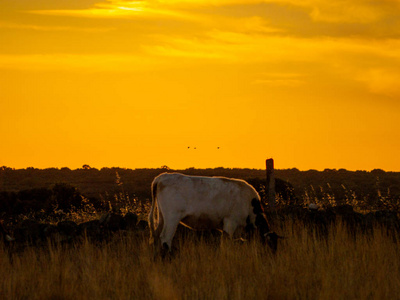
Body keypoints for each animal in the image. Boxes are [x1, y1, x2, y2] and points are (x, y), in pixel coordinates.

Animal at [148, 173, 282, 255]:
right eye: (270, 244)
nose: (273, 257)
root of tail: (162, 177)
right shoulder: (230, 222)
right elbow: (226, 244)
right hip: (172, 218)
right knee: (165, 238)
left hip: (162, 217)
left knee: (156, 236)